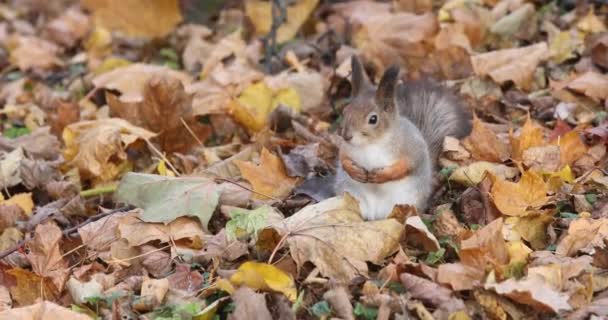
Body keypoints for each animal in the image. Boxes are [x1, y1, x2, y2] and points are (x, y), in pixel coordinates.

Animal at [332, 57, 470, 220]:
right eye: (345, 111)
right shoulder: (346, 148)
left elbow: (407, 165)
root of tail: (377, 216)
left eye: (373, 119)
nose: (346, 136)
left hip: (408, 201)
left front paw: (383, 175)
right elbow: (343, 159)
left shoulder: (411, 147)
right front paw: (354, 171)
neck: (372, 144)